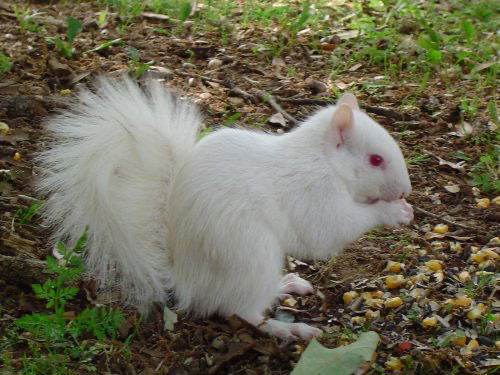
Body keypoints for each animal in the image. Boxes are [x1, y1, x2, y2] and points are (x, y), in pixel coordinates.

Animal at [38, 76, 414, 340]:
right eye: (375, 160)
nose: (406, 190)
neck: (322, 160)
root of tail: (187, 279)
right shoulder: (311, 193)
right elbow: (327, 233)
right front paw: (394, 211)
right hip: (251, 255)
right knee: (241, 311)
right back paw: (286, 329)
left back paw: (285, 286)